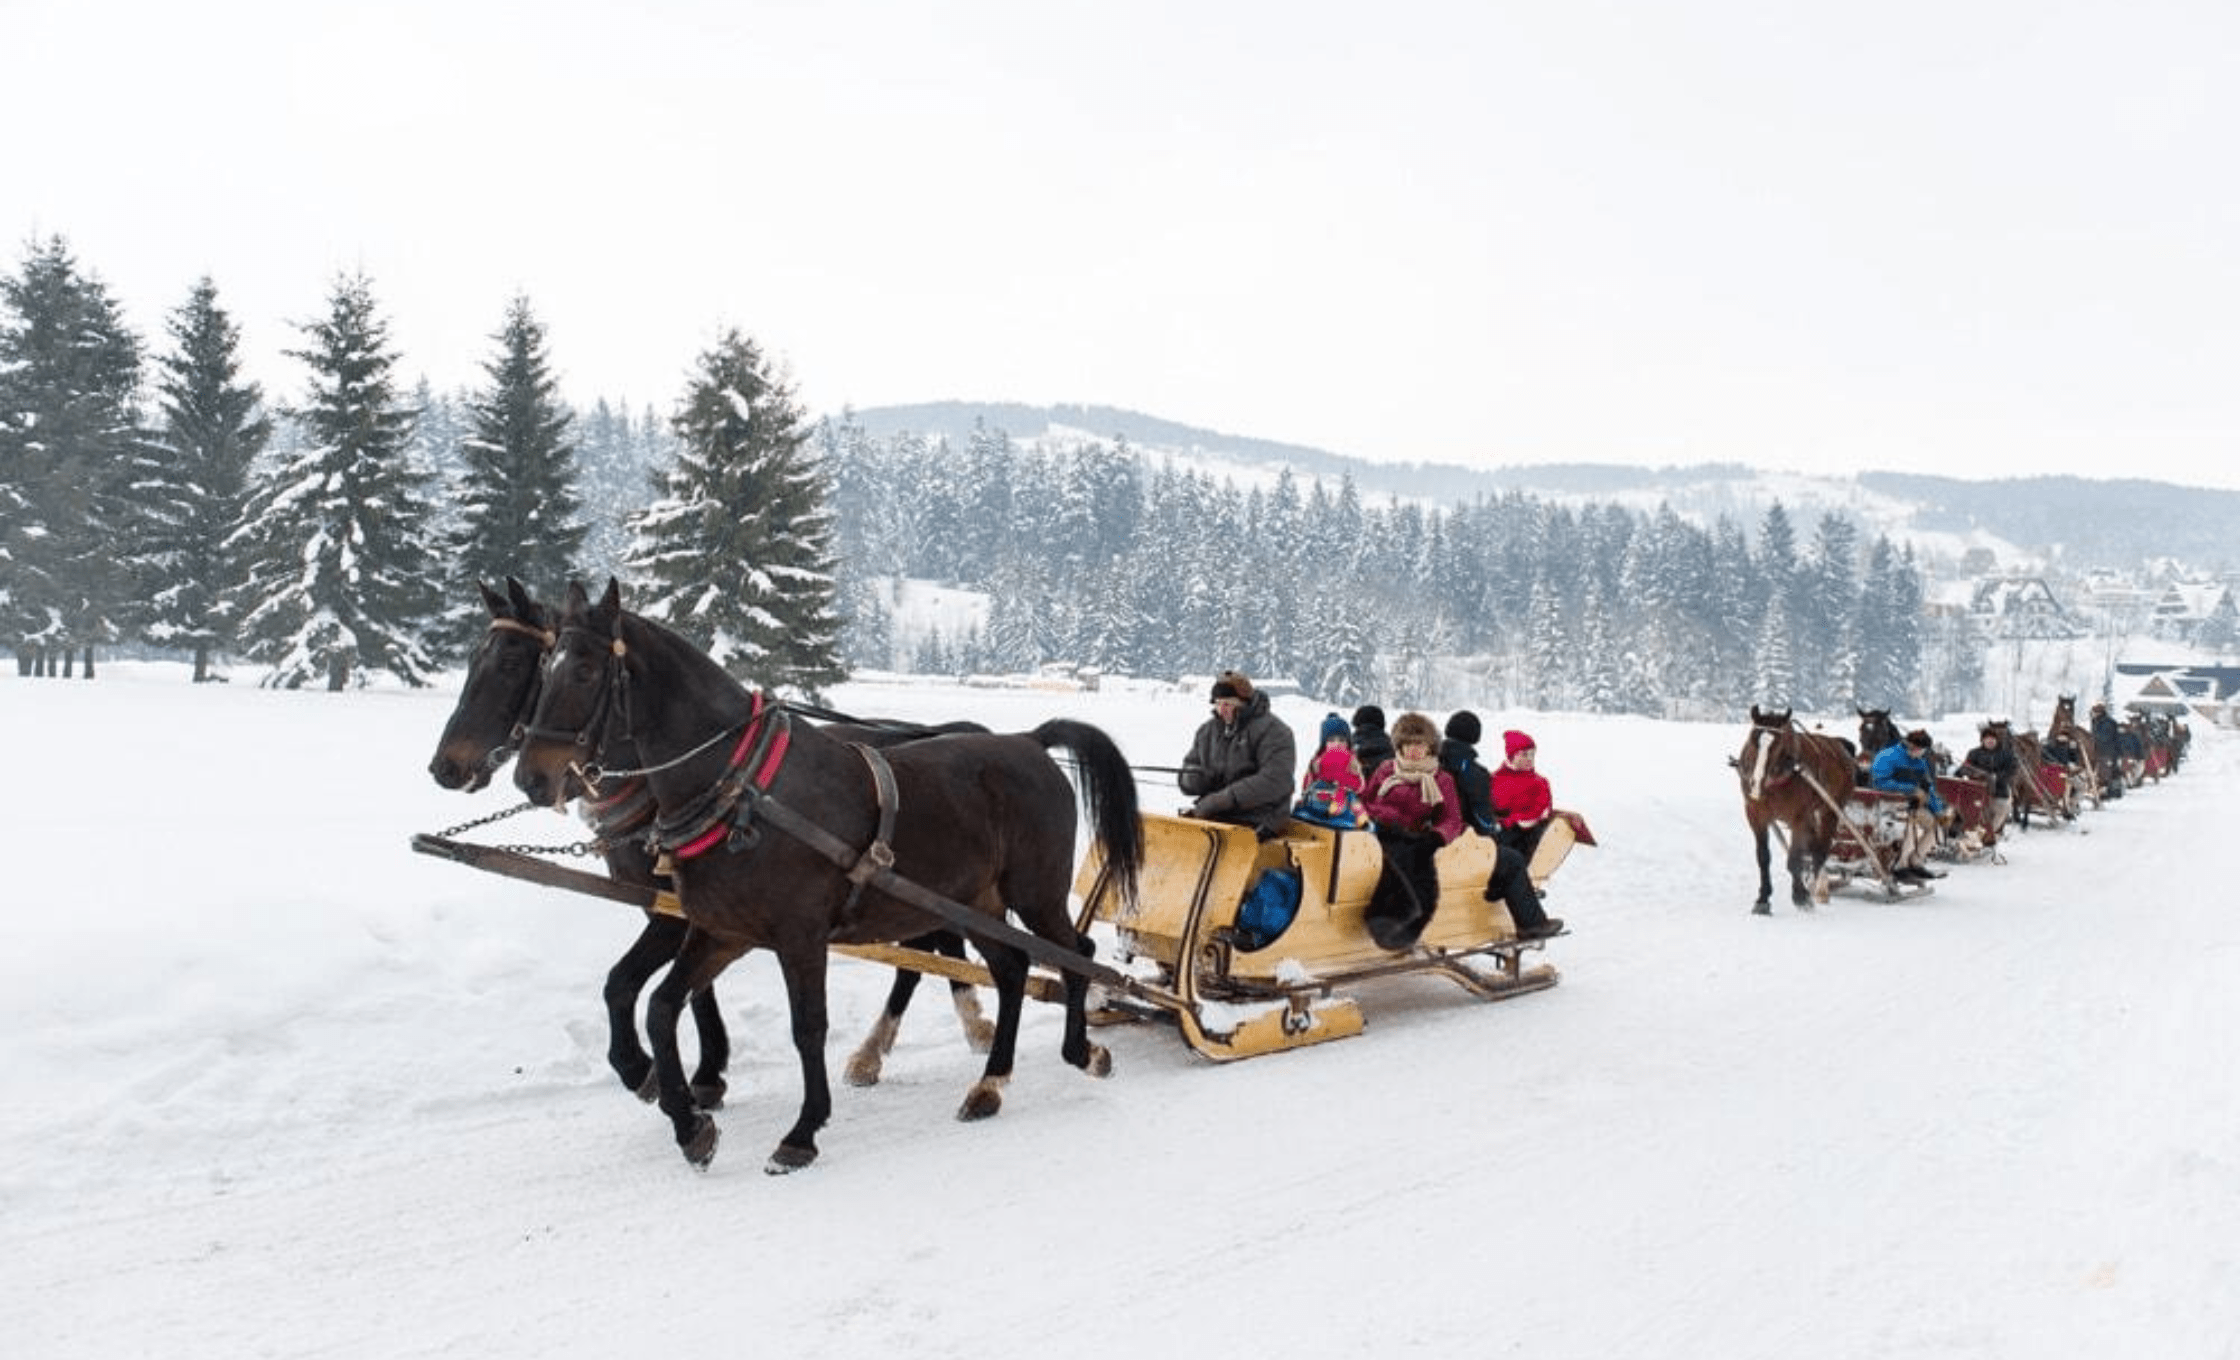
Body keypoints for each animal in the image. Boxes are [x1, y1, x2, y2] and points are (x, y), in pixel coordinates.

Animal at [432, 578, 994, 1111]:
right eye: (475, 659)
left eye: (513, 662)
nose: (445, 767)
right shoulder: (690, 909)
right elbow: (686, 988)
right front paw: (697, 1074)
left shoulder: (675, 914)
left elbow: (625, 984)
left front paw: (661, 1071)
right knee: (932, 946)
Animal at [515, 578, 1146, 1174]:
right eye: (543, 669)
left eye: (586, 670)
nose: (530, 778)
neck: (743, 787)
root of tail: (1029, 741)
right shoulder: (722, 931)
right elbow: (661, 1007)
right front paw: (688, 1122)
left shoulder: (799, 935)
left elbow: (807, 1028)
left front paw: (802, 1131)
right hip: (975, 901)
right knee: (1014, 968)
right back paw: (990, 1084)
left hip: (1033, 893)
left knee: (1076, 952)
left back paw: (1080, 1050)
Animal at [1729, 703, 1854, 914]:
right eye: (1752, 739)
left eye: (1778, 744)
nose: (1756, 783)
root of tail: (1838, 744)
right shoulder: (1755, 814)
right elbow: (1763, 857)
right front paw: (1763, 899)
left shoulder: (1799, 817)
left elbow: (1795, 858)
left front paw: (1800, 897)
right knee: (1814, 846)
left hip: (1831, 809)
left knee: (1820, 850)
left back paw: (1815, 888)